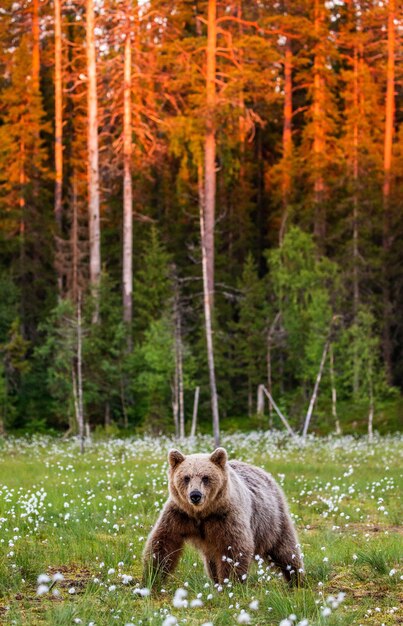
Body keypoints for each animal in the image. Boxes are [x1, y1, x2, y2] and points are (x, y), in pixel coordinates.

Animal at [144, 444, 304, 584]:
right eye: (186, 477)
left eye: (205, 477)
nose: (195, 495)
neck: (202, 513)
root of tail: (263, 472)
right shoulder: (179, 514)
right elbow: (163, 543)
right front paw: (152, 577)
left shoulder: (225, 516)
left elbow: (234, 548)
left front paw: (231, 583)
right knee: (212, 563)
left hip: (271, 520)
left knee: (285, 549)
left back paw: (296, 579)